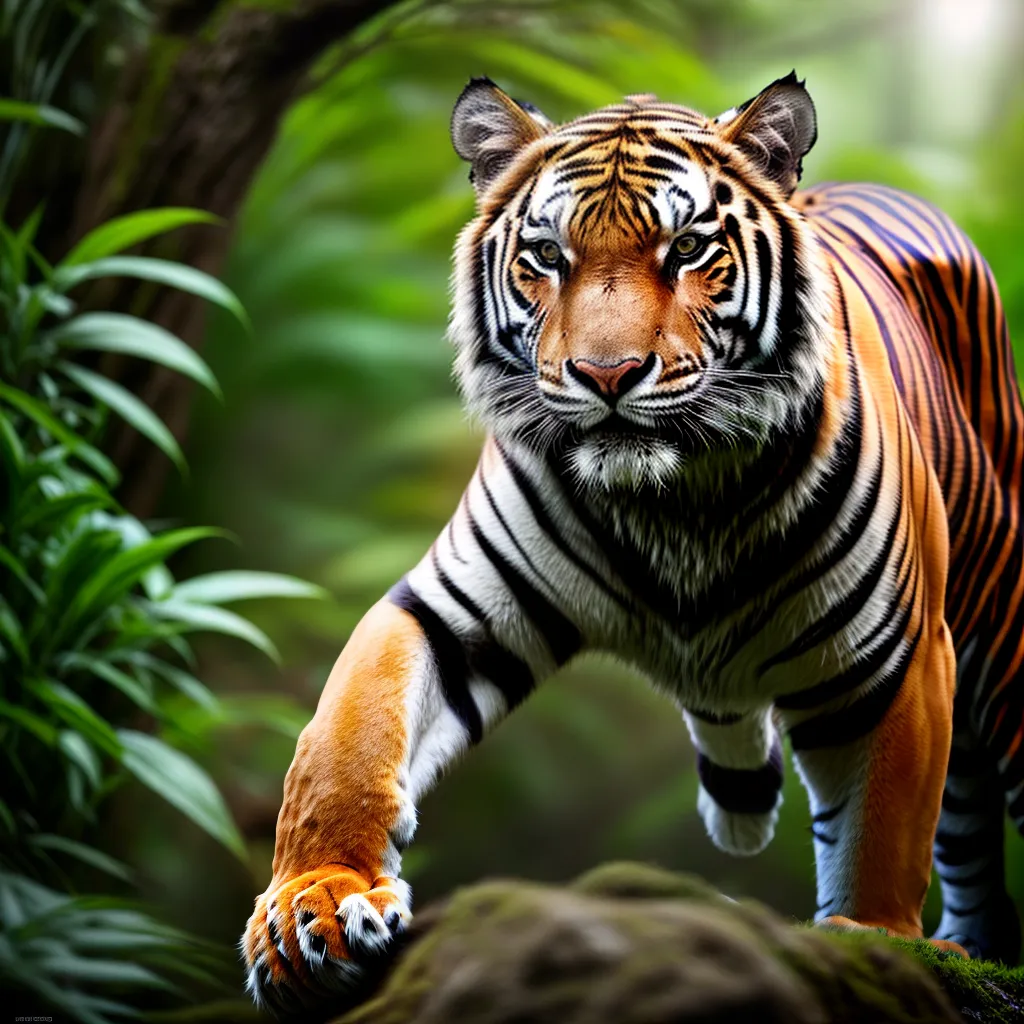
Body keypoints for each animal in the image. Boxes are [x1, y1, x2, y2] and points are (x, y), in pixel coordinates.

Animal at [242, 72, 1024, 1015]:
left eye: (686, 249)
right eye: (547, 256)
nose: (606, 375)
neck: (676, 501)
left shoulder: (894, 658)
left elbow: (883, 832)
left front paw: (872, 947)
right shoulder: (451, 610)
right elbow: (346, 739)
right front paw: (315, 908)